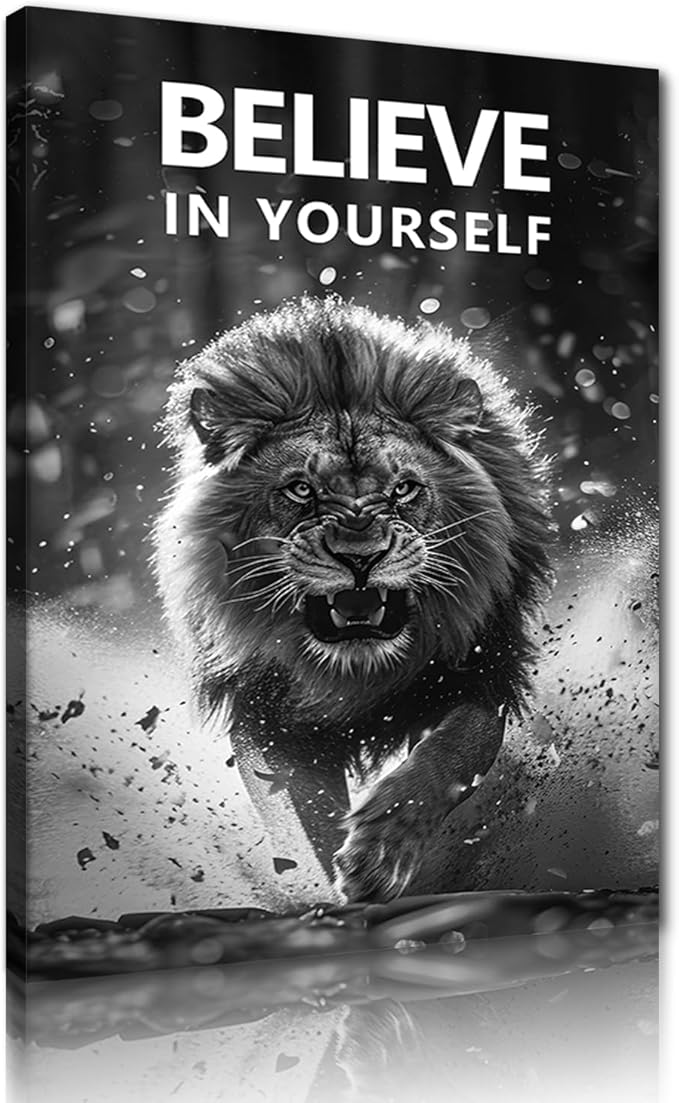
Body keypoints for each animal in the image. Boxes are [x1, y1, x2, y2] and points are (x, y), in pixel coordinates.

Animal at [154, 296, 552, 902]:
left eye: (404, 489)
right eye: (300, 489)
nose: (361, 557)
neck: (355, 672)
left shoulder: (482, 671)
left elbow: (459, 749)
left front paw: (380, 851)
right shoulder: (268, 713)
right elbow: (300, 822)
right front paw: (325, 888)